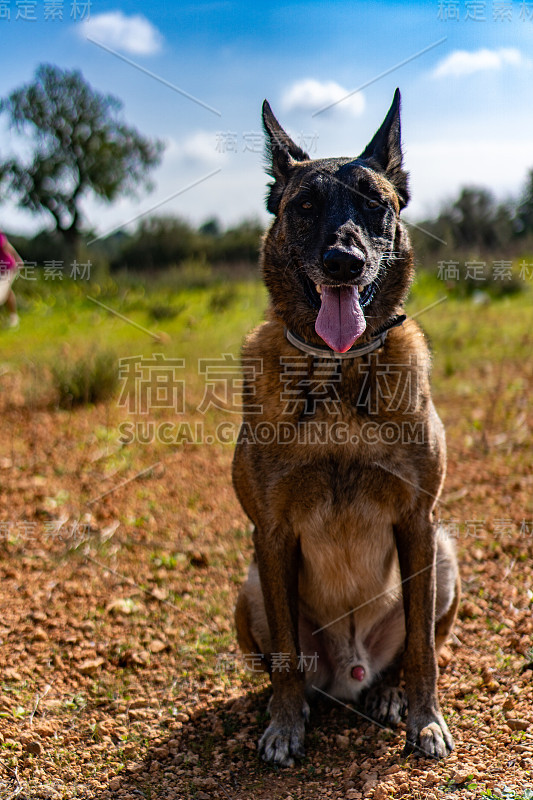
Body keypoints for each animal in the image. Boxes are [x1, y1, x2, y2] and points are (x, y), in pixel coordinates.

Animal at [235, 90, 460, 764]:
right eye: (305, 207)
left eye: (374, 204)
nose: (344, 262)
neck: (338, 374)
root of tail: (348, 673)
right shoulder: (271, 533)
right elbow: (285, 657)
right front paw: (284, 726)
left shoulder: (418, 521)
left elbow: (421, 649)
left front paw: (426, 721)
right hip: (249, 588)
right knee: (292, 665)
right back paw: (297, 703)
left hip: (443, 556)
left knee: (413, 648)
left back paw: (387, 694)